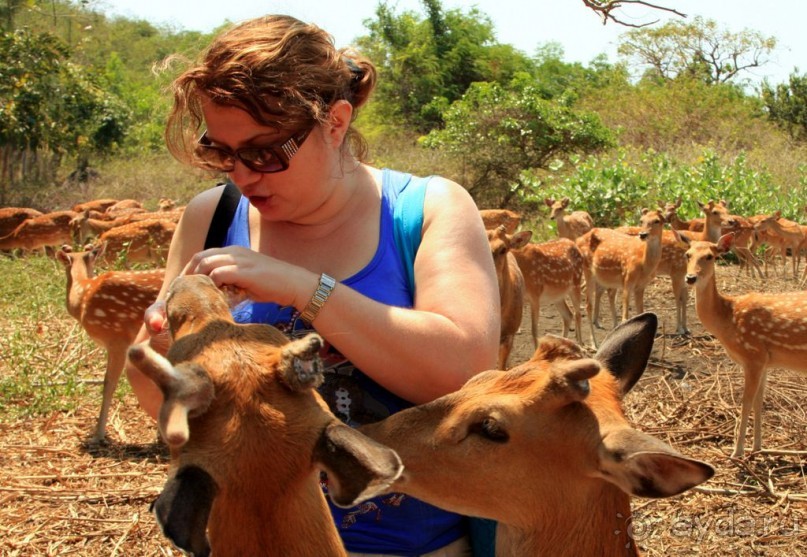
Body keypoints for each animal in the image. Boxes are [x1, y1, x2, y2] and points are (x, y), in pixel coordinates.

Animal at [684, 233, 807, 456]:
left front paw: (737, 451)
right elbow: (759, 401)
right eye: (687, 254)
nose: (690, 278)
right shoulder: (764, 361)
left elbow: (746, 403)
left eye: (710, 256)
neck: (728, 318)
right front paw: (757, 447)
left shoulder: (753, 355)